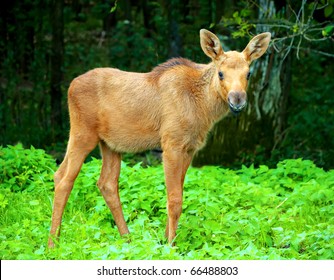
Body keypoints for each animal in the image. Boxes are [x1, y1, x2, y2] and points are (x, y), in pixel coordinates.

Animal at [47, 29, 272, 247]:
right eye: (221, 73)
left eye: (248, 73)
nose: (237, 100)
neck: (204, 108)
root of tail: (70, 87)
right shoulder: (171, 144)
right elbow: (174, 200)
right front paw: (171, 245)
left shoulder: (189, 148)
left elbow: (179, 194)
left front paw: (165, 239)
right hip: (82, 133)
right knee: (64, 179)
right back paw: (53, 244)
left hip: (110, 144)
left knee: (104, 183)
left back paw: (127, 239)